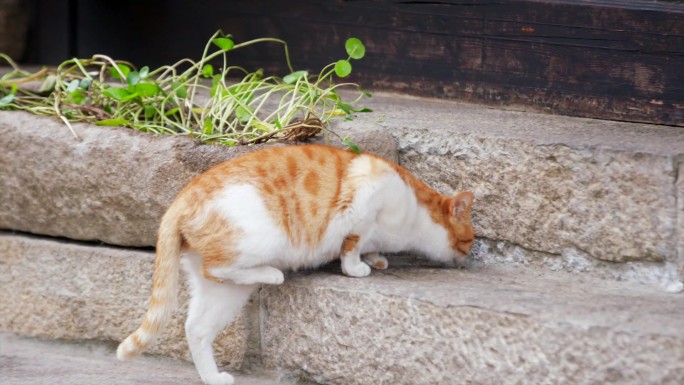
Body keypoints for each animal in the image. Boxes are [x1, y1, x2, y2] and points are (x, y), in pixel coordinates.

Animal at [117, 143, 472, 384]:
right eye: (469, 239)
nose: (469, 256)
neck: (410, 218)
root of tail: (181, 197)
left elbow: (368, 247)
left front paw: (377, 258)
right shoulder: (365, 198)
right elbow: (352, 245)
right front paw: (358, 266)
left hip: (224, 294)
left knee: (196, 328)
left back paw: (213, 377)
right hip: (264, 237)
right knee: (217, 267)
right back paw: (273, 274)